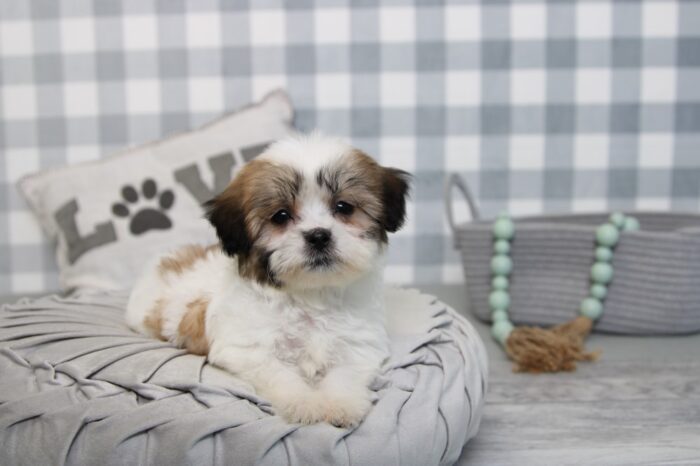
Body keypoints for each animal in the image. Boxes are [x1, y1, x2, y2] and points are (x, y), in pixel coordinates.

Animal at [126, 134, 410, 426]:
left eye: (344, 207)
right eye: (281, 216)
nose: (318, 235)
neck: (311, 296)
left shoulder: (359, 345)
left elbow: (345, 373)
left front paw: (342, 404)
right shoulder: (249, 350)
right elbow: (282, 376)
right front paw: (304, 403)